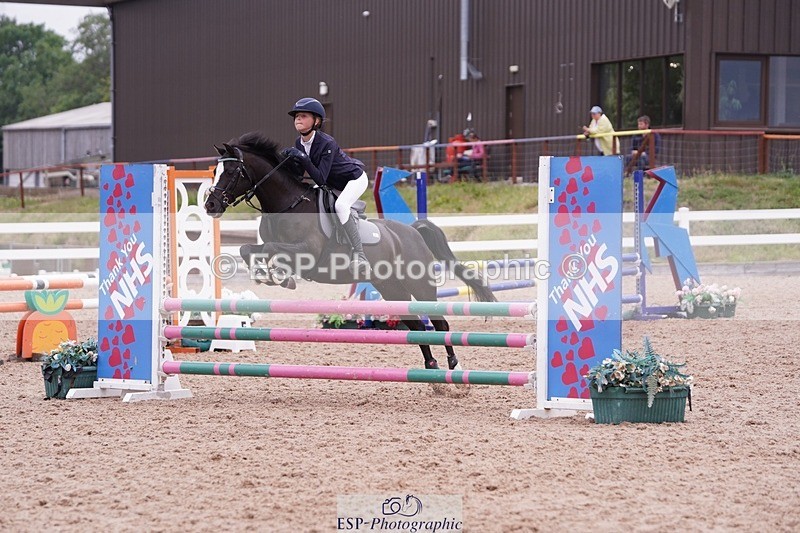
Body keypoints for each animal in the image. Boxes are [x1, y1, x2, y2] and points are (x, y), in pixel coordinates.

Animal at [204, 132, 496, 371]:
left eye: (232, 171)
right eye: (216, 171)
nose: (210, 205)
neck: (288, 204)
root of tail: (412, 231)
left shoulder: (308, 251)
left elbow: (273, 248)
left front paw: (280, 276)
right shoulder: (266, 245)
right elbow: (248, 248)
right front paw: (266, 274)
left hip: (419, 285)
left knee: (439, 323)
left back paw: (453, 363)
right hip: (391, 287)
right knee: (415, 324)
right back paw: (432, 367)